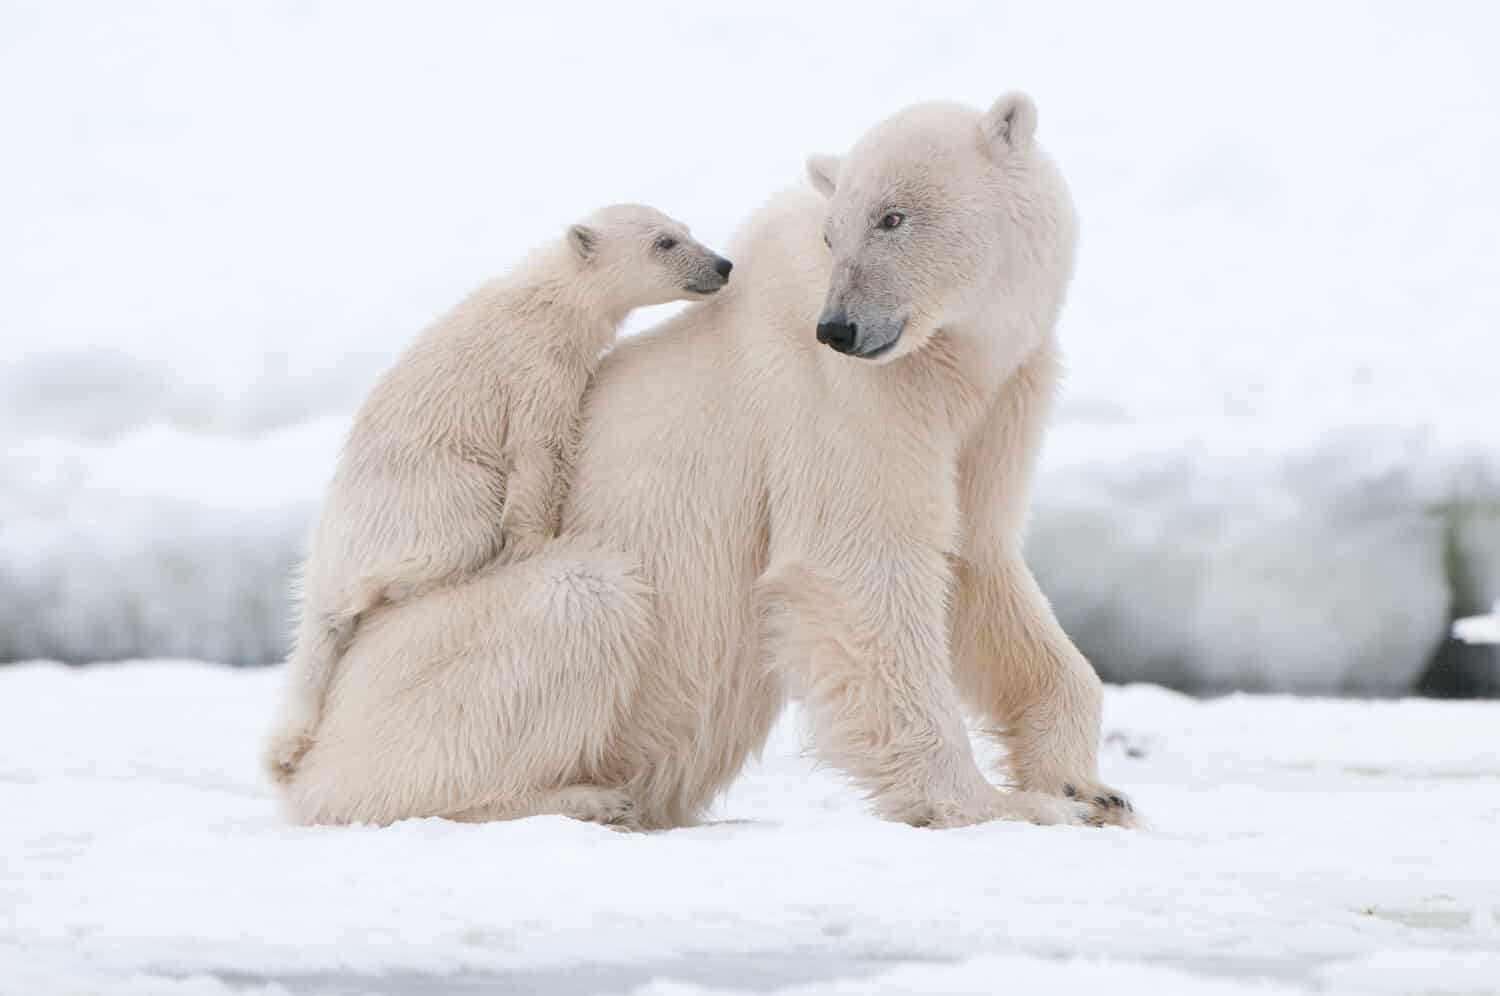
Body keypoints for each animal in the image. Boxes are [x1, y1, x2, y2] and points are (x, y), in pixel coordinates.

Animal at [268, 208, 738, 786]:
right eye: (664, 242)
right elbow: (539, 450)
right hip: (429, 497)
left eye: (686, 229)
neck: (549, 298)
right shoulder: (536, 368)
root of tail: (326, 560)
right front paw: (536, 542)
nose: (722, 264)